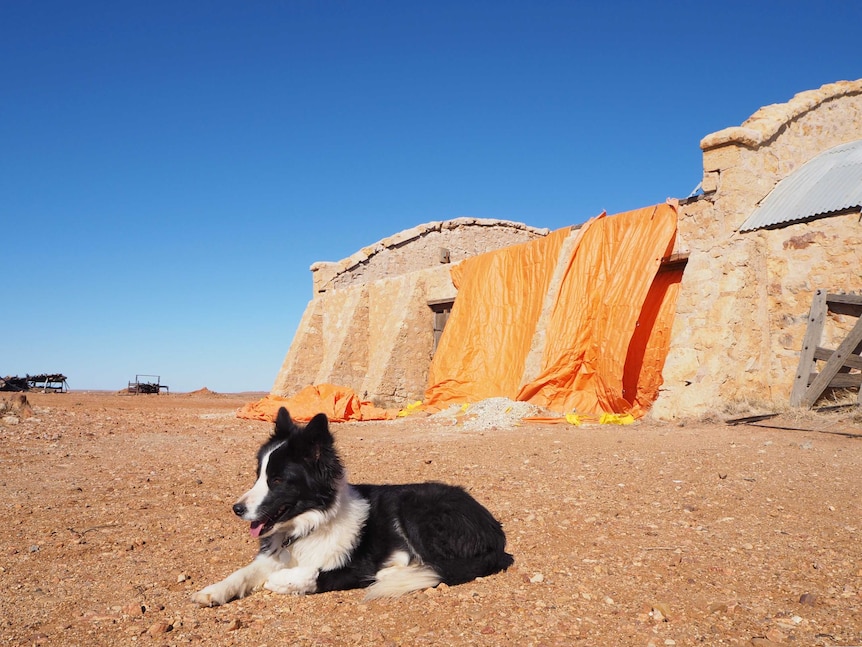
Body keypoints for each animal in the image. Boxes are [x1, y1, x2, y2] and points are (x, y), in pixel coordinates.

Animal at [192, 410, 510, 608]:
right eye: (258, 475)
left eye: (278, 480)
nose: (236, 509)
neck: (311, 524)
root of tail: (495, 532)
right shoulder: (273, 554)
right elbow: (242, 573)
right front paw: (212, 591)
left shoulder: (357, 566)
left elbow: (314, 574)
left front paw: (282, 581)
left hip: (415, 506)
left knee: (443, 566)